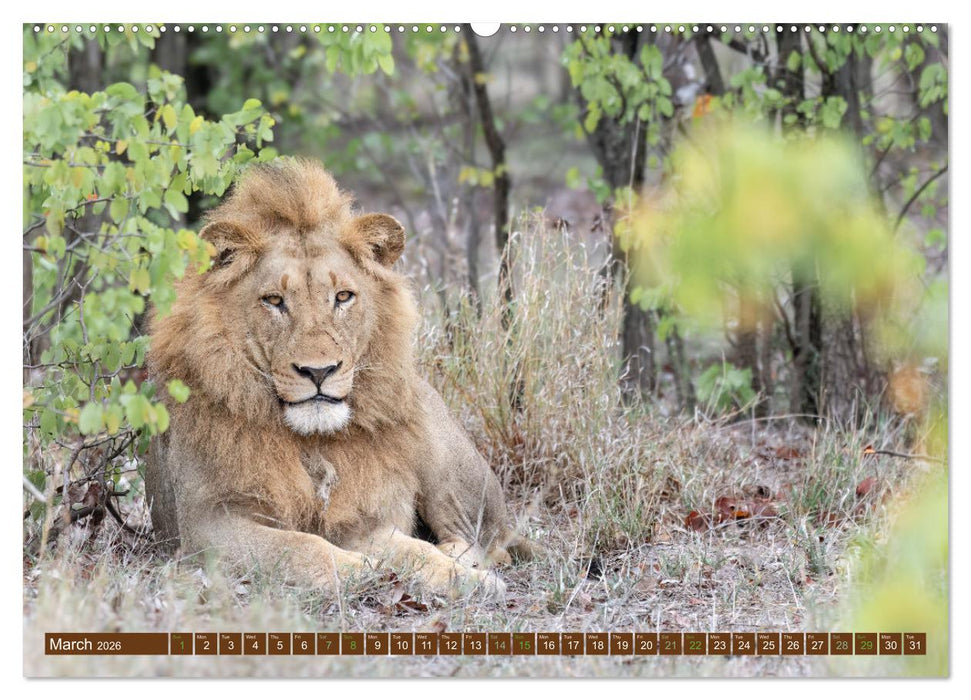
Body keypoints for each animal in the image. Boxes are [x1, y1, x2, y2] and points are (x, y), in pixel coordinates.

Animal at [145, 158, 532, 596]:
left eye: (343, 297)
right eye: (274, 301)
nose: (319, 371)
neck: (312, 443)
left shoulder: (361, 517)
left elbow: (413, 549)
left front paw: (466, 580)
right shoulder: (205, 526)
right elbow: (302, 547)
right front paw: (365, 570)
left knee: (485, 541)